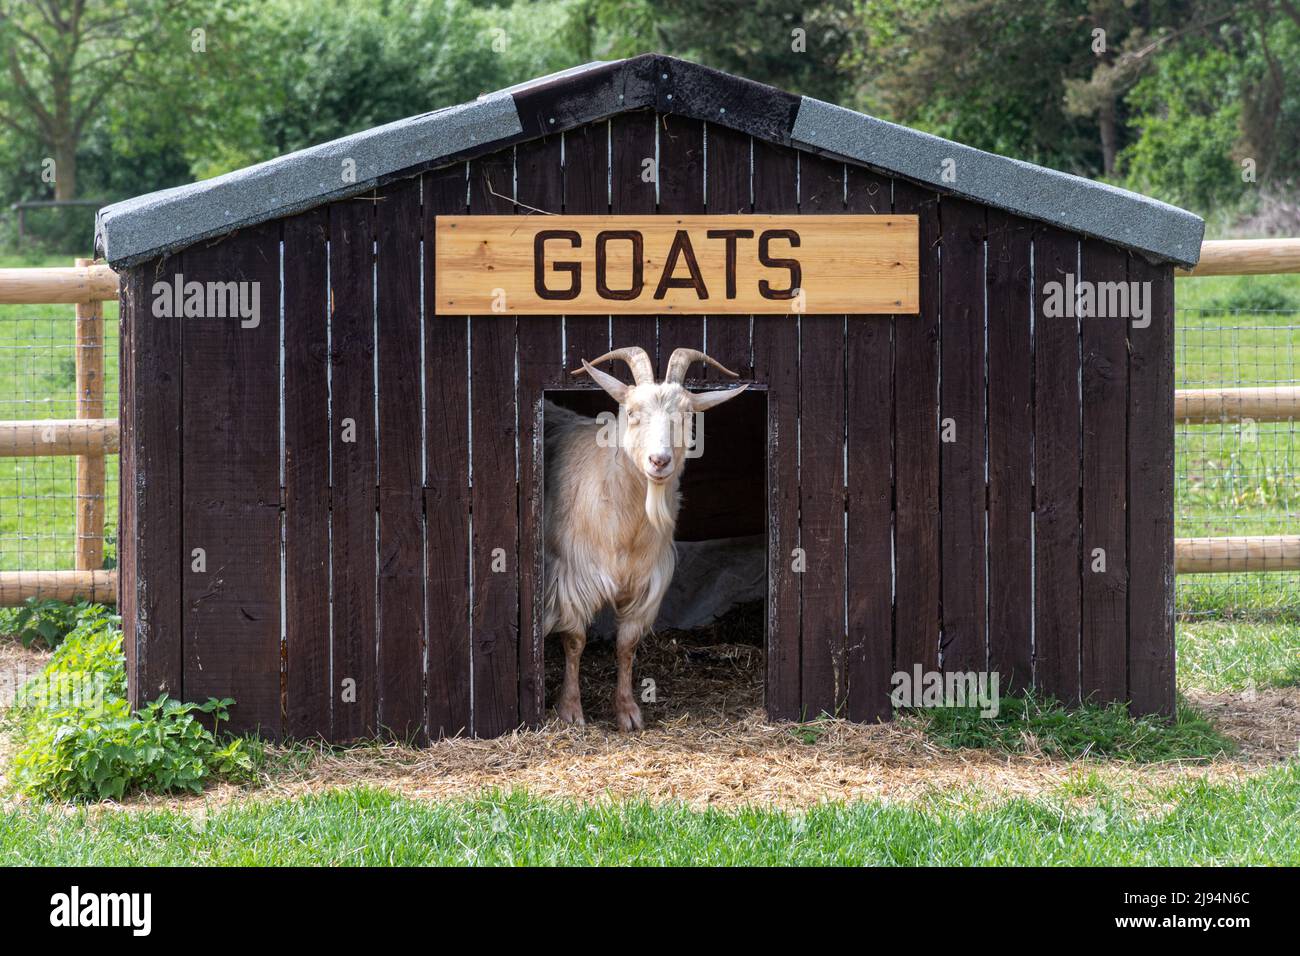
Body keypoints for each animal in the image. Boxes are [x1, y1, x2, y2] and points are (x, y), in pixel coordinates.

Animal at [546, 348, 754, 728]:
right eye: (631, 413)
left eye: (686, 414)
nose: (659, 460)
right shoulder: (572, 575)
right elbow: (575, 639)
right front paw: (570, 709)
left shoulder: (646, 581)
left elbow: (626, 644)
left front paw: (627, 710)